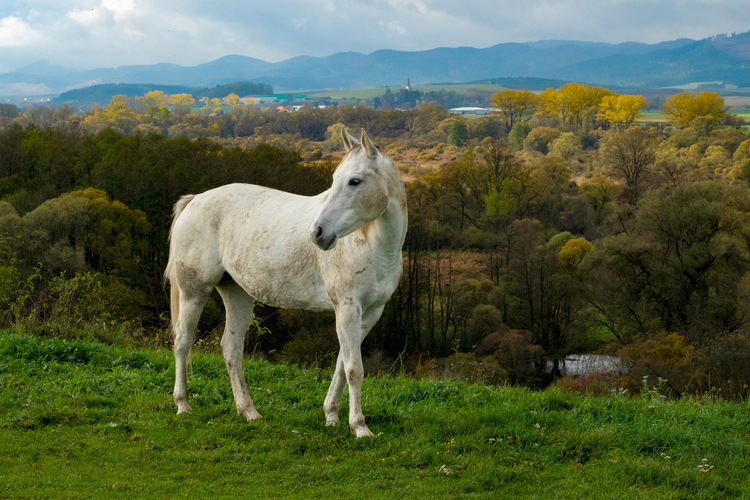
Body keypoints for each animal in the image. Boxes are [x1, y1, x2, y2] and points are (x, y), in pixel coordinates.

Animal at [166, 129, 412, 438]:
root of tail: (195, 199)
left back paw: (248, 411)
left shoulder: (370, 312)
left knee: (231, 348)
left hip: (237, 293)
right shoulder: (347, 308)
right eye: (335, 179)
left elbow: (341, 364)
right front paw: (359, 427)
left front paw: (331, 416)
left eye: (355, 181)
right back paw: (183, 405)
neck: (372, 244)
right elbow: (354, 368)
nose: (318, 233)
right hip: (194, 291)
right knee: (183, 341)